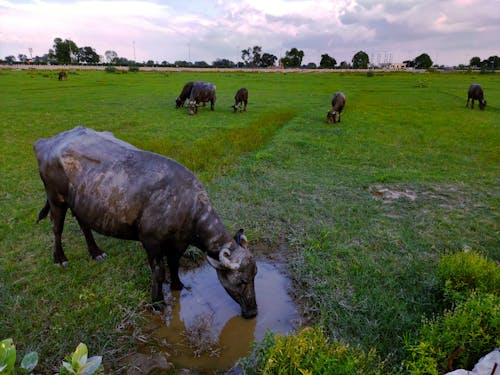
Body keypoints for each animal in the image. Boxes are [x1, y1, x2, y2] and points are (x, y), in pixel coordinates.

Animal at [34, 127, 258, 320]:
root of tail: (46, 142)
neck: (185, 205)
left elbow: (174, 263)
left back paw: (96, 252)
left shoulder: (179, 243)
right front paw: (157, 303)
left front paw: (178, 285)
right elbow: (158, 273)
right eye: (242, 281)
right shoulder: (151, 242)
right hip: (56, 198)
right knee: (57, 228)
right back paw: (60, 258)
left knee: (84, 224)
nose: (253, 312)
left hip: (81, 203)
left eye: (255, 275)